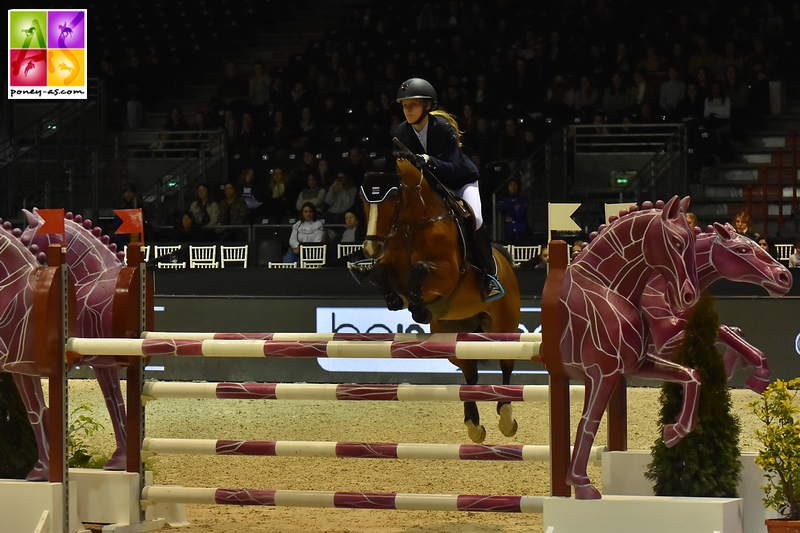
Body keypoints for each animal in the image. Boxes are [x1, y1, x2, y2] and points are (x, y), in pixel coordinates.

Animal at [18, 210, 130, 476]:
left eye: (27, 238)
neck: (93, 276)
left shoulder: (100, 363)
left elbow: (114, 403)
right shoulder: (104, 364)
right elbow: (115, 403)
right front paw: (120, 459)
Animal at [358, 152, 520, 442]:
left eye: (393, 194)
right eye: (364, 196)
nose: (371, 247)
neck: (412, 224)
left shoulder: (447, 273)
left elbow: (419, 269)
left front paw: (419, 308)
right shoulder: (390, 266)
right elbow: (379, 271)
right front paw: (396, 300)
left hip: (505, 327)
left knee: (506, 365)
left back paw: (506, 419)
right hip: (451, 335)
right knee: (469, 373)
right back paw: (474, 425)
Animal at [560, 196, 696, 498]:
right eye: (677, 241)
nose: (689, 296)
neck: (607, 289)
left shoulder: (636, 364)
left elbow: (690, 375)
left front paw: (674, 432)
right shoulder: (603, 372)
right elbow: (589, 421)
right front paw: (581, 484)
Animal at [640, 220, 792, 390]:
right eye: (742, 249)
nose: (785, 276)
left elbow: (735, 331)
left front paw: (729, 369)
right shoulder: (664, 343)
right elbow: (722, 330)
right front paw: (759, 375)